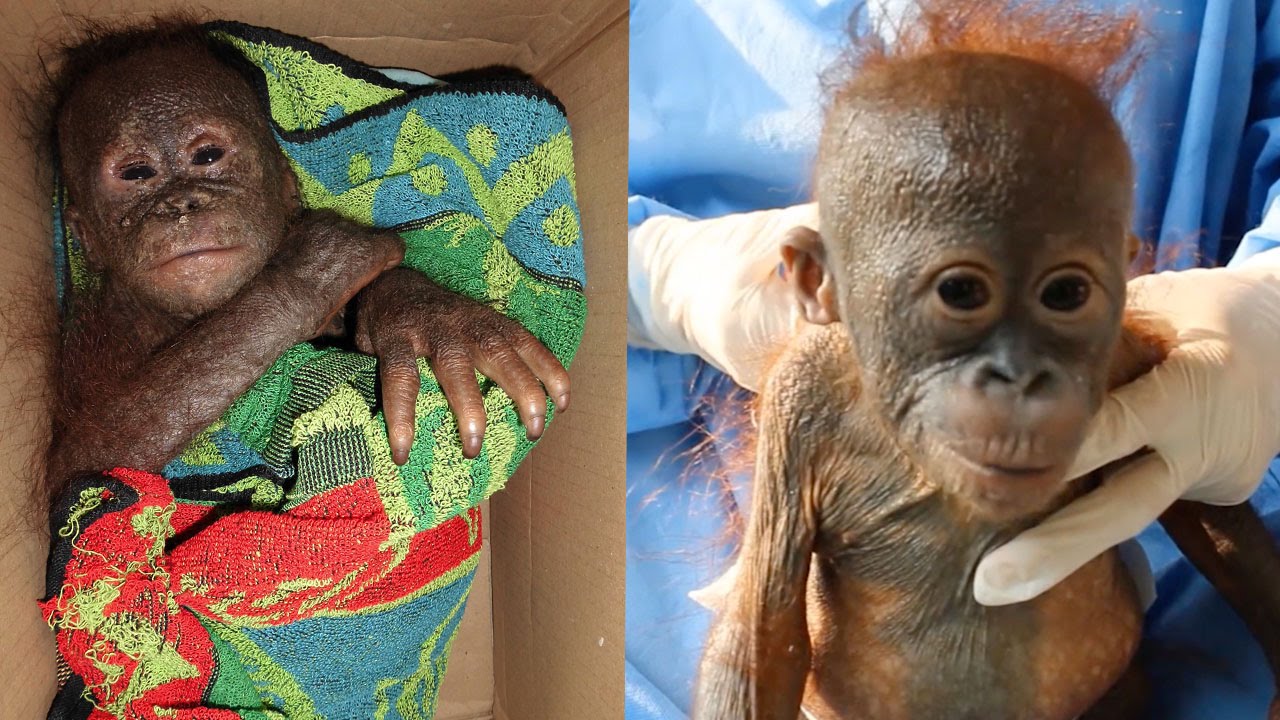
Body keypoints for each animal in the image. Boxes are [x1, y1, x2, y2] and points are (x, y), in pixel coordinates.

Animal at [40, 18, 570, 509]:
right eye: (136, 174)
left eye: (207, 156)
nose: (180, 205)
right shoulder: (98, 335)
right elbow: (79, 461)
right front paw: (315, 271)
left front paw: (417, 310)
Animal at [692, 5, 1280, 720]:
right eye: (961, 292)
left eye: (1067, 294)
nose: (1019, 376)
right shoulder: (797, 400)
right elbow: (763, 629)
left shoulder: (1128, 359)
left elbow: (1195, 496)